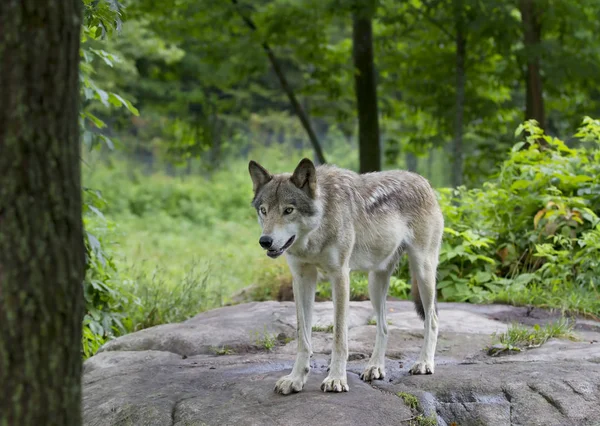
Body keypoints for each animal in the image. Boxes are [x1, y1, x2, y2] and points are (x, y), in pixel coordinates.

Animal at [248, 158, 446, 394]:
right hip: (375, 283)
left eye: (288, 210)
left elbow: (339, 338)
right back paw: (375, 367)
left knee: (432, 320)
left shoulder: (340, 276)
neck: (317, 231)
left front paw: (336, 379)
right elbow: (303, 338)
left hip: (422, 272)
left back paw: (424, 363)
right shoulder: (302, 278)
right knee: (384, 327)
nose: (265, 241)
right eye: (264, 210)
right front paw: (295, 379)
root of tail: (423, 181)